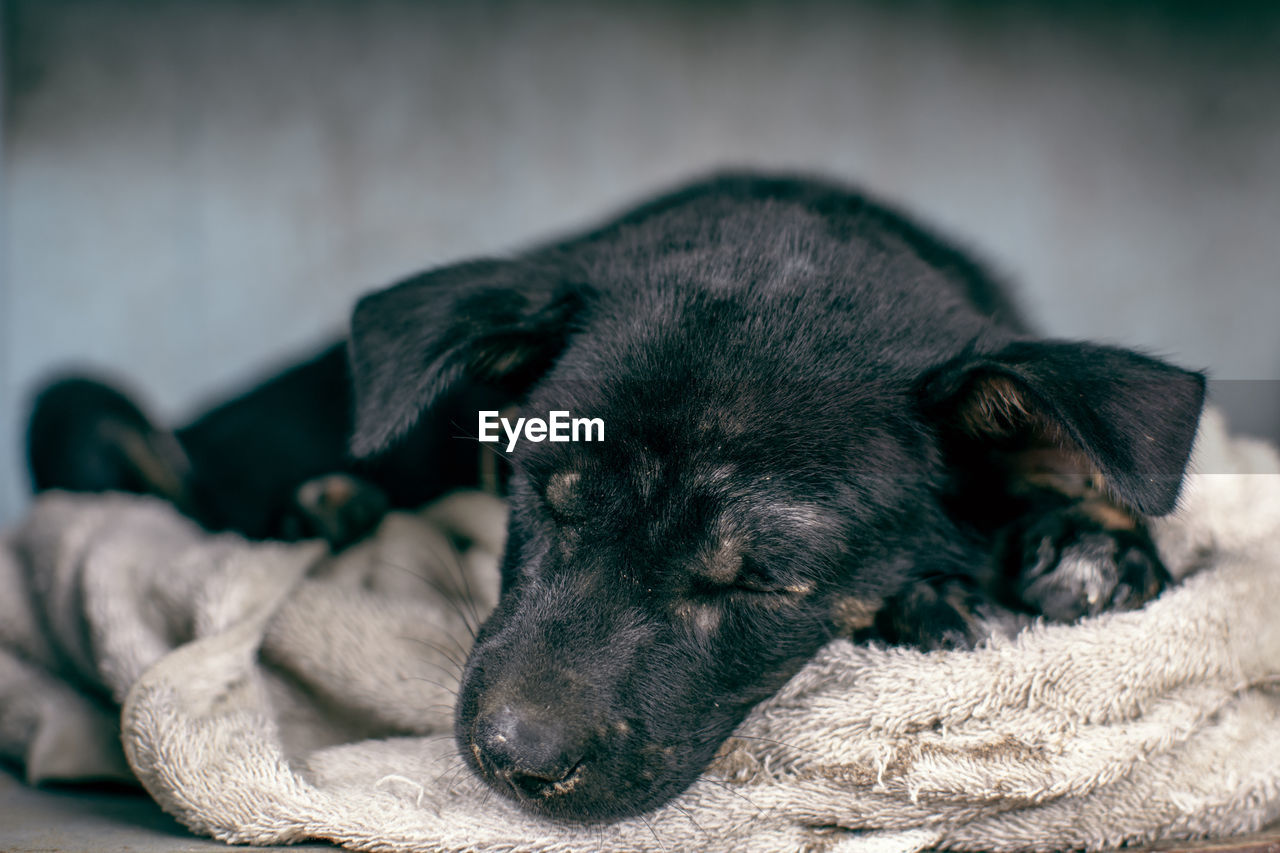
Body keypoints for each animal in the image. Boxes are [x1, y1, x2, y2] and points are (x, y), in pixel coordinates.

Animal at [32, 174, 1208, 824]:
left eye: (764, 577)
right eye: (544, 499)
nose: (512, 762)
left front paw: (1088, 547)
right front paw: (942, 597)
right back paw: (327, 507)